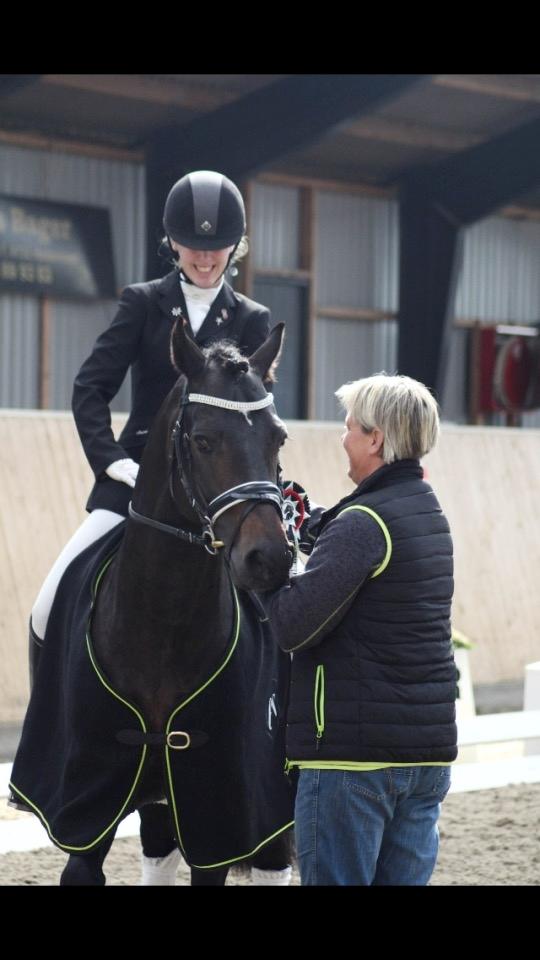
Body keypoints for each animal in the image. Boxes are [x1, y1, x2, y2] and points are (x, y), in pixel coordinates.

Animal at [9, 322, 296, 884]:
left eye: (278, 437)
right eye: (203, 440)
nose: (269, 559)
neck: (163, 623)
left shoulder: (219, 814)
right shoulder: (89, 801)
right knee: (159, 850)